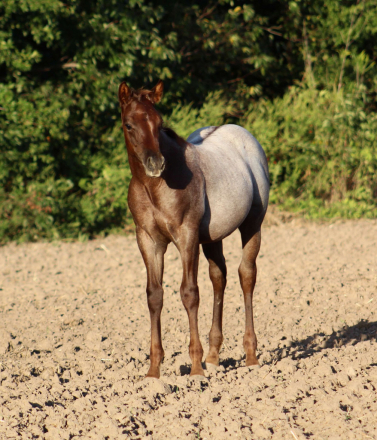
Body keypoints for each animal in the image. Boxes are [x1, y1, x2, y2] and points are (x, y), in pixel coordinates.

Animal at [117, 80, 268, 378]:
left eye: (159, 122)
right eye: (129, 124)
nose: (155, 163)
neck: (154, 187)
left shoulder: (186, 236)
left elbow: (189, 293)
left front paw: (196, 369)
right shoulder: (148, 240)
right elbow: (154, 295)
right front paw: (153, 371)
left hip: (252, 225)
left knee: (246, 275)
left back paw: (250, 356)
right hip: (212, 238)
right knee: (219, 277)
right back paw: (214, 355)